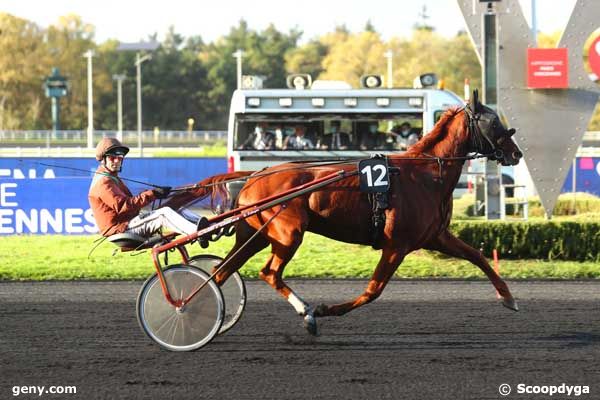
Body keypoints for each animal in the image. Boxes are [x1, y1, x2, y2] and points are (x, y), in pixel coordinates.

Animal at [168, 93, 520, 334]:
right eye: (493, 122)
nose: (516, 153)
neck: (425, 174)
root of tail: (258, 174)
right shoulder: (398, 244)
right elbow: (373, 291)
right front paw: (324, 310)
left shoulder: (436, 236)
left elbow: (477, 255)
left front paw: (509, 298)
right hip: (288, 233)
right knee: (268, 272)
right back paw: (305, 312)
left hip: (256, 234)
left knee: (223, 270)